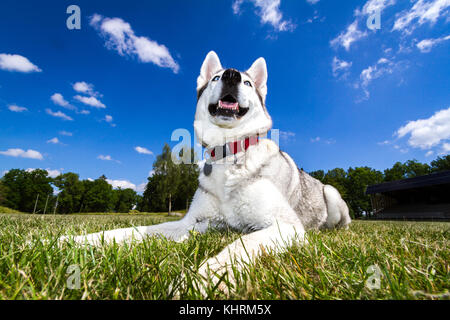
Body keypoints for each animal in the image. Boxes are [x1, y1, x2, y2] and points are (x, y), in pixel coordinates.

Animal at [64, 50, 352, 290]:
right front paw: (68, 240)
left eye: (247, 82)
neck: (228, 152)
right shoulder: (190, 222)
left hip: (330, 192)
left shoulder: (286, 226)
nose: (231, 75)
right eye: (215, 78)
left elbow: (240, 245)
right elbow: (130, 231)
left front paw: (202, 280)